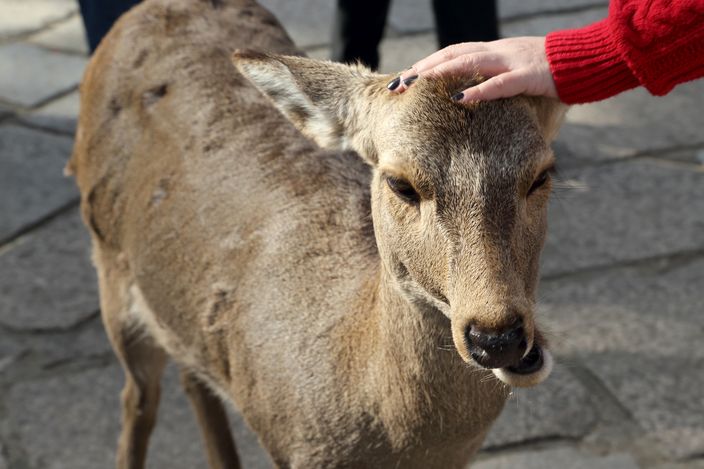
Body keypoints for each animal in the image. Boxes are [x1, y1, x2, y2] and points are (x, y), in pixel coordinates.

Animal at [70, 0, 568, 466]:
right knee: (138, 397)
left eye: (542, 174)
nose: (497, 337)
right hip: (108, 266)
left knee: (190, 373)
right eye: (400, 183)